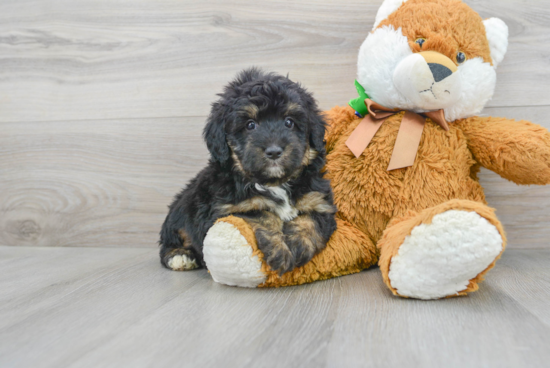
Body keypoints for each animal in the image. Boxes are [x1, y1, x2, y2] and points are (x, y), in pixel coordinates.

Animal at [160, 67, 338, 274]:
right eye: (250, 125)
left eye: (289, 122)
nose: (274, 151)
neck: (274, 183)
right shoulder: (229, 210)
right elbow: (262, 213)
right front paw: (280, 251)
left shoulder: (318, 201)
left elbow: (311, 220)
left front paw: (298, 244)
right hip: (180, 212)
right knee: (171, 240)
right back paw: (180, 256)